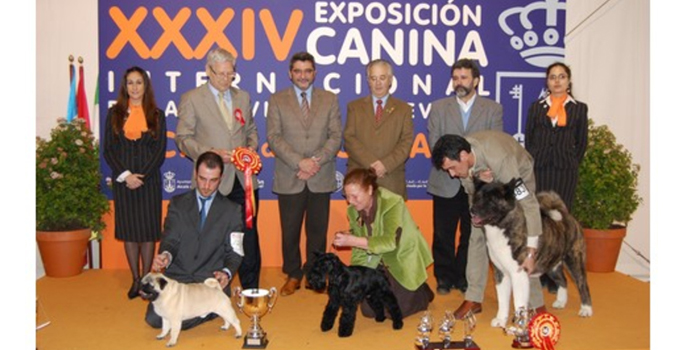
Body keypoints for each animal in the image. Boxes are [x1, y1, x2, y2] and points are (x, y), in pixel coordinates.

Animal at [470, 178, 592, 328]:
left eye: (491, 200)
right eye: (478, 197)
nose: (472, 210)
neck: (503, 228)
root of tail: (566, 215)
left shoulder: (519, 275)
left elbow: (518, 302)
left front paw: (519, 325)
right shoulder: (501, 273)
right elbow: (503, 300)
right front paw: (501, 319)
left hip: (574, 261)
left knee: (582, 284)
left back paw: (586, 309)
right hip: (552, 266)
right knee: (563, 281)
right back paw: (561, 302)